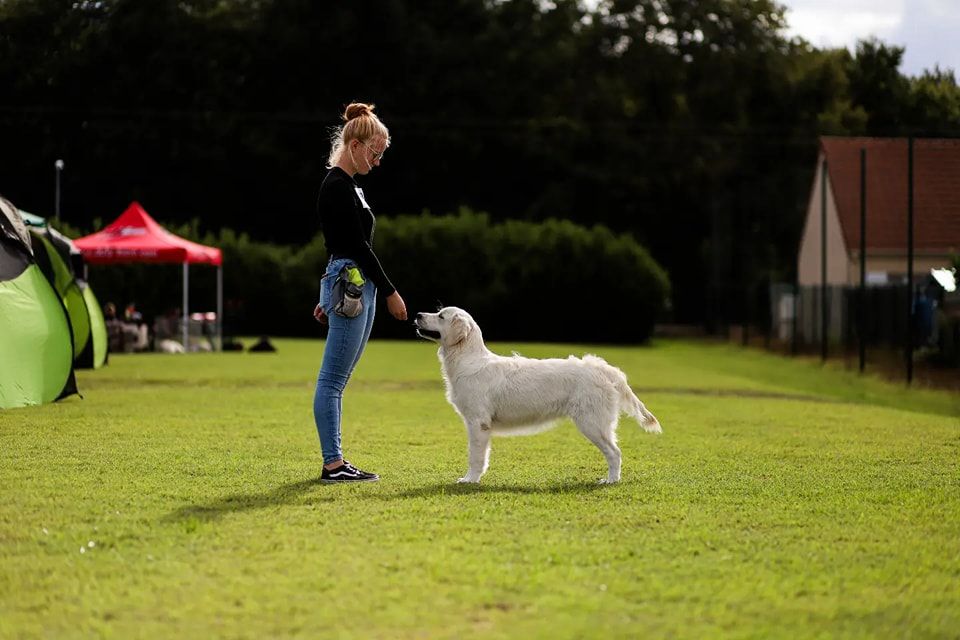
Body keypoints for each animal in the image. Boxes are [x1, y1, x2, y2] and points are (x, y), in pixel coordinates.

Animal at [412, 308, 660, 482]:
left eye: (441, 316)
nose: (417, 315)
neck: (467, 359)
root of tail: (605, 369)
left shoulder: (478, 422)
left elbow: (475, 456)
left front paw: (470, 480)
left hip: (592, 423)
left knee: (614, 453)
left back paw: (610, 481)